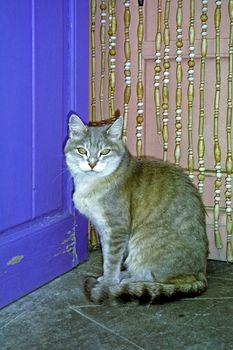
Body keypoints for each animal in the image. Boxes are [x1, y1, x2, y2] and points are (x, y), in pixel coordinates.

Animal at [64, 114, 208, 304]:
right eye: (82, 150)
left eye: (105, 152)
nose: (92, 164)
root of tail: (201, 273)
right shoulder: (104, 230)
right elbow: (107, 257)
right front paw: (108, 277)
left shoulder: (117, 229)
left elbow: (111, 260)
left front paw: (109, 283)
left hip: (143, 245)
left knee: (162, 279)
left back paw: (129, 281)